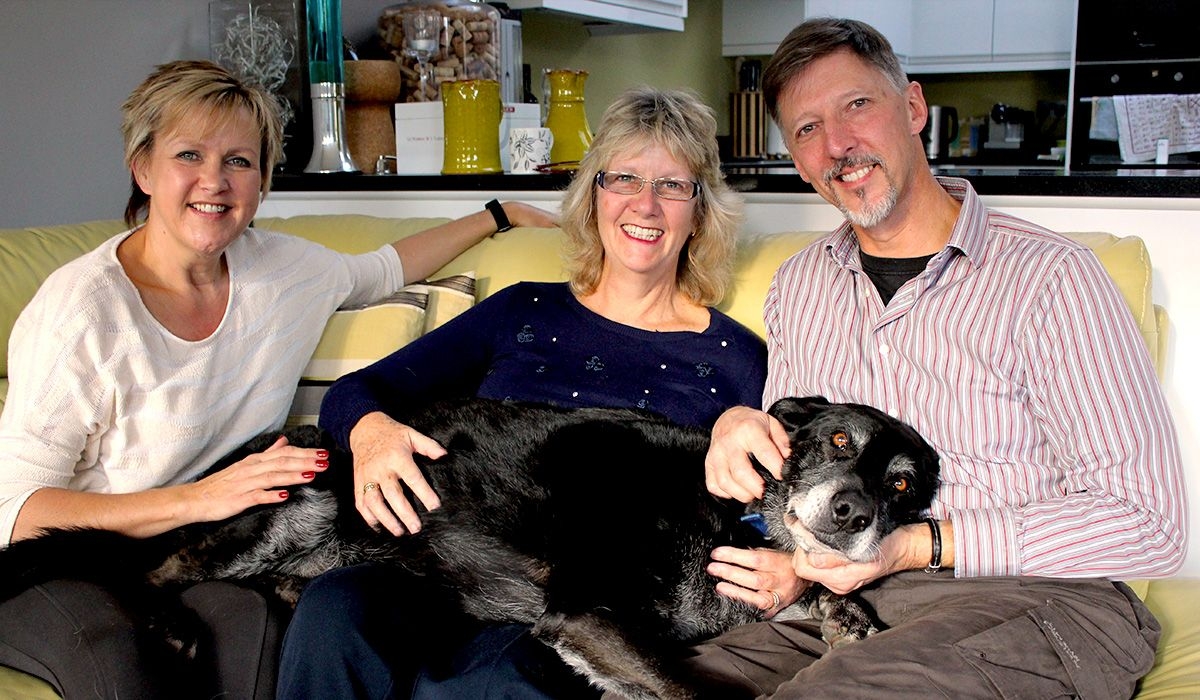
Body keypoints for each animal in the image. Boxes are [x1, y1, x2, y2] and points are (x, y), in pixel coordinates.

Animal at [0, 396, 936, 696]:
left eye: (902, 487)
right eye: (838, 441)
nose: (852, 511)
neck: (726, 511)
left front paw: (846, 609)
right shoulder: (586, 616)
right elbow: (691, 690)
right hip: (297, 488)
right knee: (155, 566)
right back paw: (171, 623)